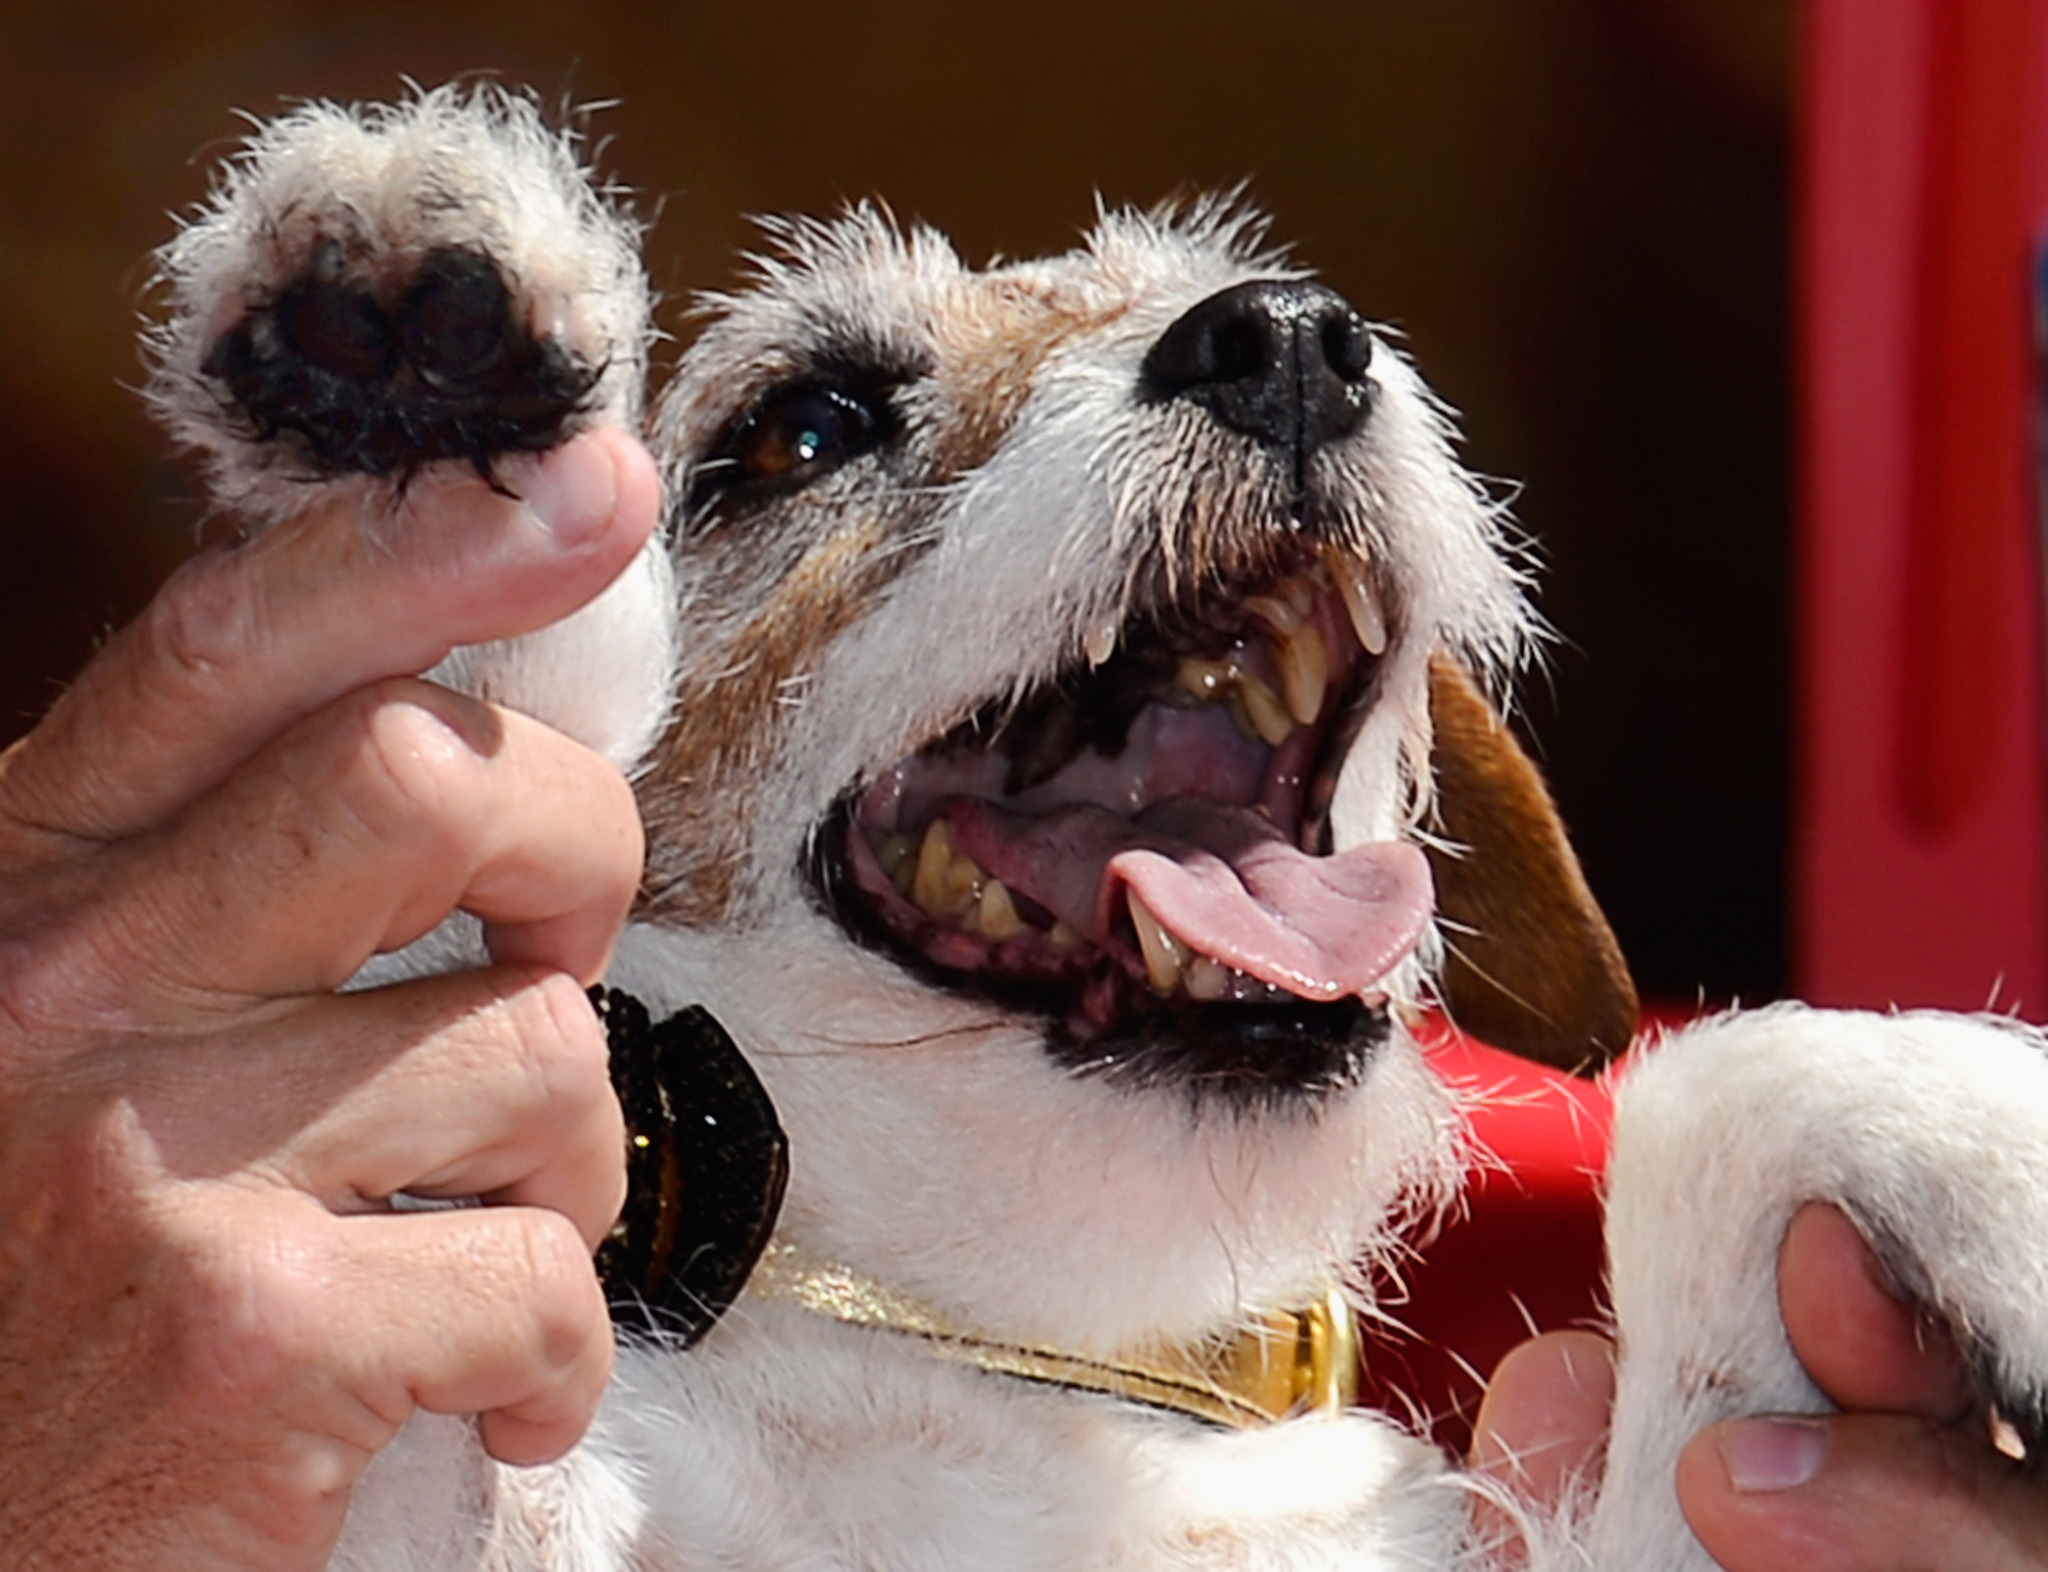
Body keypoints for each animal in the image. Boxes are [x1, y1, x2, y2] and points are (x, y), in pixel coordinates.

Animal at [148, 85, 2048, 1572]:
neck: (1029, 1355)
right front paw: (419, 342)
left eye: (1229, 294)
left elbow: (1709, 1085)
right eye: (803, 425)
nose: (1286, 340)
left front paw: (1993, 1160)